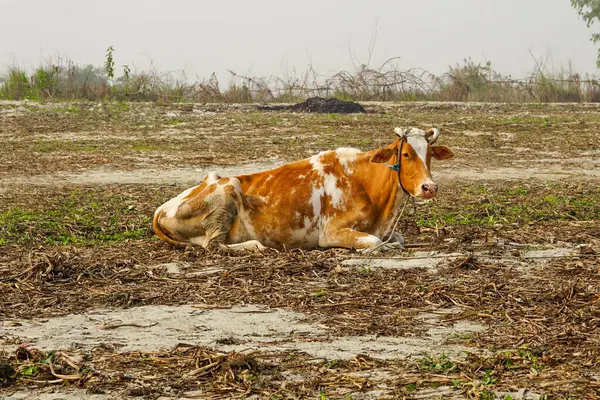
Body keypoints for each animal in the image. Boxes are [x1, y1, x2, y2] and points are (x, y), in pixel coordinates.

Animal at [152, 127, 452, 253]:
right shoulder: (331, 232)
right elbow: (376, 243)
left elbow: (396, 239)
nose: (429, 187)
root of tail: (161, 209)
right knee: (213, 245)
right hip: (229, 186)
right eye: (406, 153)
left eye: (429, 155)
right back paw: (255, 246)